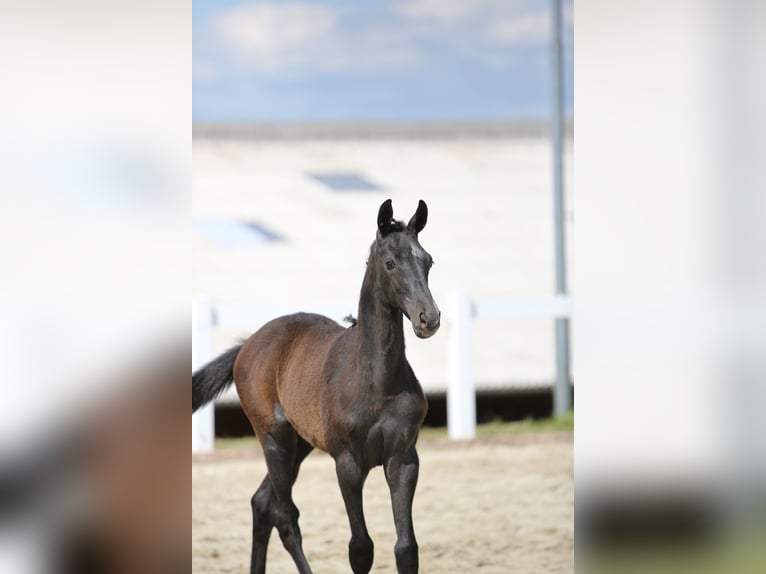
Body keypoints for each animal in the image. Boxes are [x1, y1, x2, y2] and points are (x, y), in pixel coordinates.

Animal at [194, 201, 444, 574]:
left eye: (427, 260)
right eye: (390, 262)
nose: (429, 318)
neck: (377, 383)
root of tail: (248, 344)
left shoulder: (403, 459)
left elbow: (406, 548)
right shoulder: (347, 463)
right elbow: (360, 548)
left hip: (300, 442)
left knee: (261, 503)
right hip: (275, 439)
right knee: (284, 516)